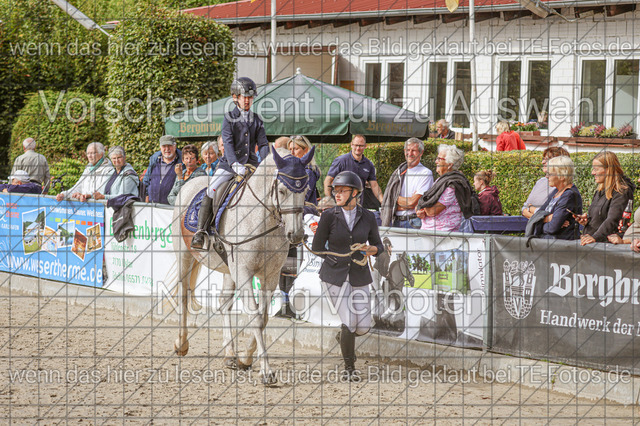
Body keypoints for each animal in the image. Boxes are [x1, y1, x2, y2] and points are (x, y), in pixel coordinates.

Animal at [168, 146, 313, 385]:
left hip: (229, 269)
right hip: (185, 257)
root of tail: (189, 182)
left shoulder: (270, 276)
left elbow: (263, 317)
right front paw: (266, 372)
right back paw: (182, 344)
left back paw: (230, 355)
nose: (297, 235)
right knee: (183, 297)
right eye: (282, 190)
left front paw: (246, 358)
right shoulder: (245, 273)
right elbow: (255, 317)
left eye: (306, 190)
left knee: (224, 304)